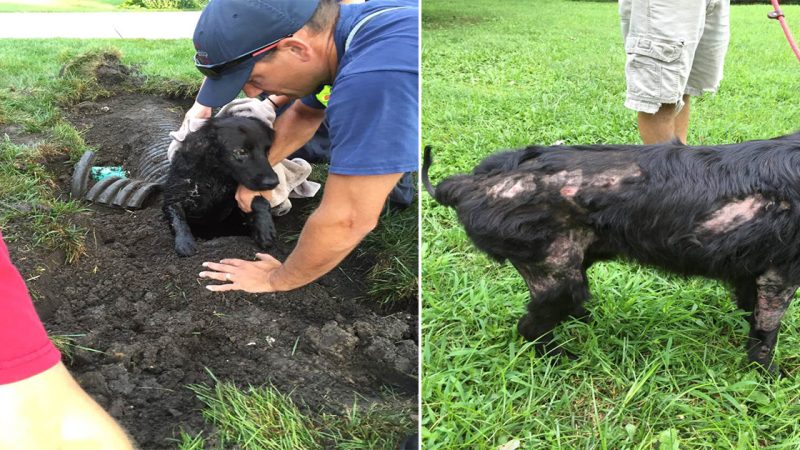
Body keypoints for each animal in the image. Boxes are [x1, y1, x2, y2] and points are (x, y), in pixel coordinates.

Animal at [162, 115, 278, 256]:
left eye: (267, 151)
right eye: (241, 151)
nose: (274, 182)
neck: (214, 176)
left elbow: (260, 200)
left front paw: (265, 228)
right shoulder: (173, 198)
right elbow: (177, 218)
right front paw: (185, 242)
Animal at [428, 133, 800, 372]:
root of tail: (468, 183)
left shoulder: (752, 271)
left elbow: (752, 314)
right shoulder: (780, 276)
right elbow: (766, 335)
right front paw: (767, 377)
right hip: (558, 279)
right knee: (529, 329)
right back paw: (562, 358)